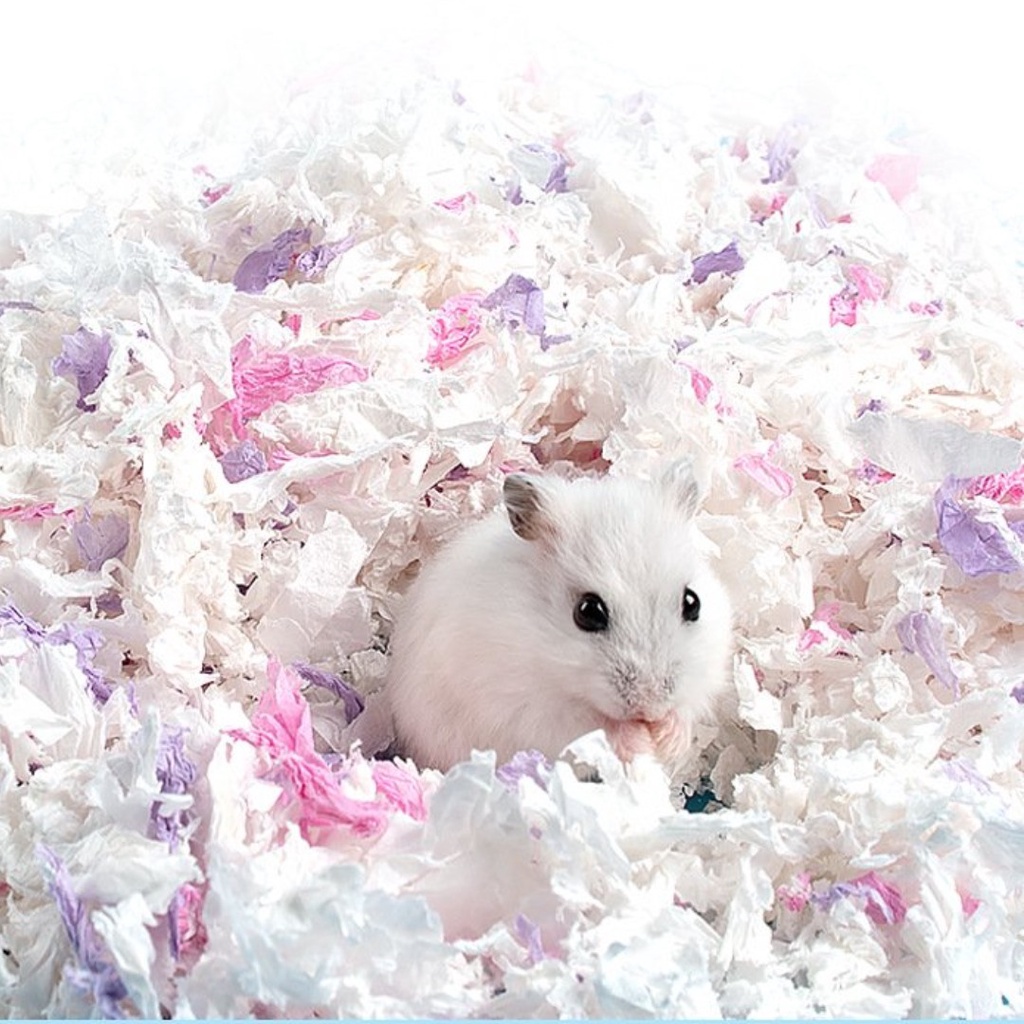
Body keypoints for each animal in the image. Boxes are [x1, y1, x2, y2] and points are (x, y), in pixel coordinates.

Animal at [386, 459, 733, 772]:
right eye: (588, 612)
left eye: (692, 603)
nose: (650, 708)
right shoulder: (528, 707)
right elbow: (594, 725)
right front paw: (641, 742)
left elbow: (687, 708)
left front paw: (667, 741)